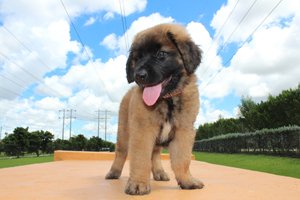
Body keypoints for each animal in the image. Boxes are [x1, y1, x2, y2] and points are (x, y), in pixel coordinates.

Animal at [105, 23, 204, 195]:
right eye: (137, 58)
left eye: (161, 54)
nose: (139, 75)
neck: (167, 99)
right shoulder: (142, 131)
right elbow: (140, 159)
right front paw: (138, 183)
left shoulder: (183, 132)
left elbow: (182, 160)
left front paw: (187, 181)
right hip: (123, 133)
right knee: (121, 154)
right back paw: (114, 172)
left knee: (155, 155)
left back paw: (159, 172)